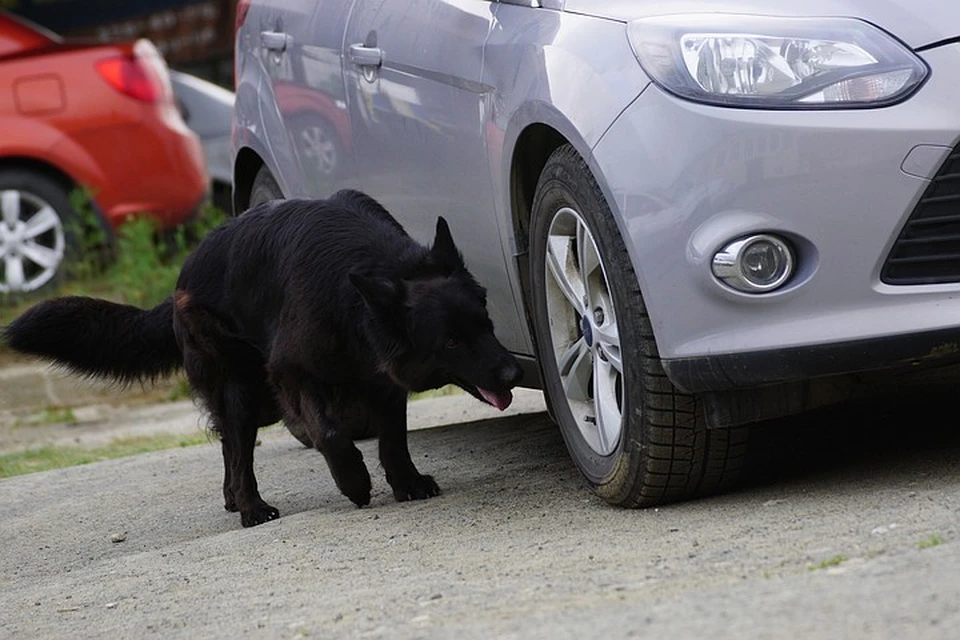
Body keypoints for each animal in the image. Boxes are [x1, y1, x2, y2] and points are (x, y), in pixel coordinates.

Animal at [3, 192, 520, 528]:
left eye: (485, 322)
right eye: (450, 342)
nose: (514, 371)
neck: (357, 291)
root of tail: (179, 281)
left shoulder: (383, 381)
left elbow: (393, 438)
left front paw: (406, 482)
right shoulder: (293, 373)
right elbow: (330, 434)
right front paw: (354, 482)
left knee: (230, 448)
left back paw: (234, 500)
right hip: (244, 392)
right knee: (237, 449)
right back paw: (251, 507)